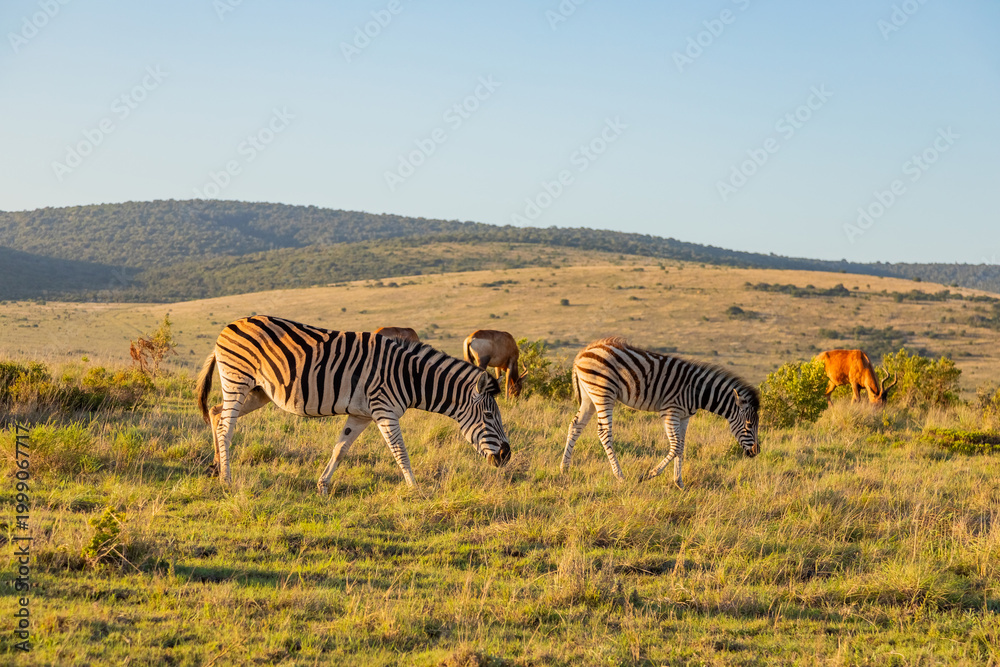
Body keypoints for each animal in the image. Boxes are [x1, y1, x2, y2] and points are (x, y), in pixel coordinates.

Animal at [195, 315, 511, 492]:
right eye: (489, 415)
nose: (506, 455)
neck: (409, 376)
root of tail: (229, 326)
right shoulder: (385, 411)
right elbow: (400, 452)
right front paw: (416, 490)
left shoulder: (362, 415)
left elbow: (340, 448)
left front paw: (323, 486)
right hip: (238, 380)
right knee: (226, 426)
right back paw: (226, 479)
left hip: (259, 391)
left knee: (215, 413)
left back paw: (216, 467)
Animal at [561, 337, 759, 487]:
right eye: (749, 425)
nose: (756, 452)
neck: (696, 391)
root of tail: (583, 352)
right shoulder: (670, 411)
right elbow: (676, 446)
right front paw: (649, 474)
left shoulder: (684, 416)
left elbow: (682, 446)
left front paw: (679, 482)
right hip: (603, 393)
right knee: (604, 432)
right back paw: (620, 475)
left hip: (589, 396)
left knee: (575, 426)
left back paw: (564, 468)